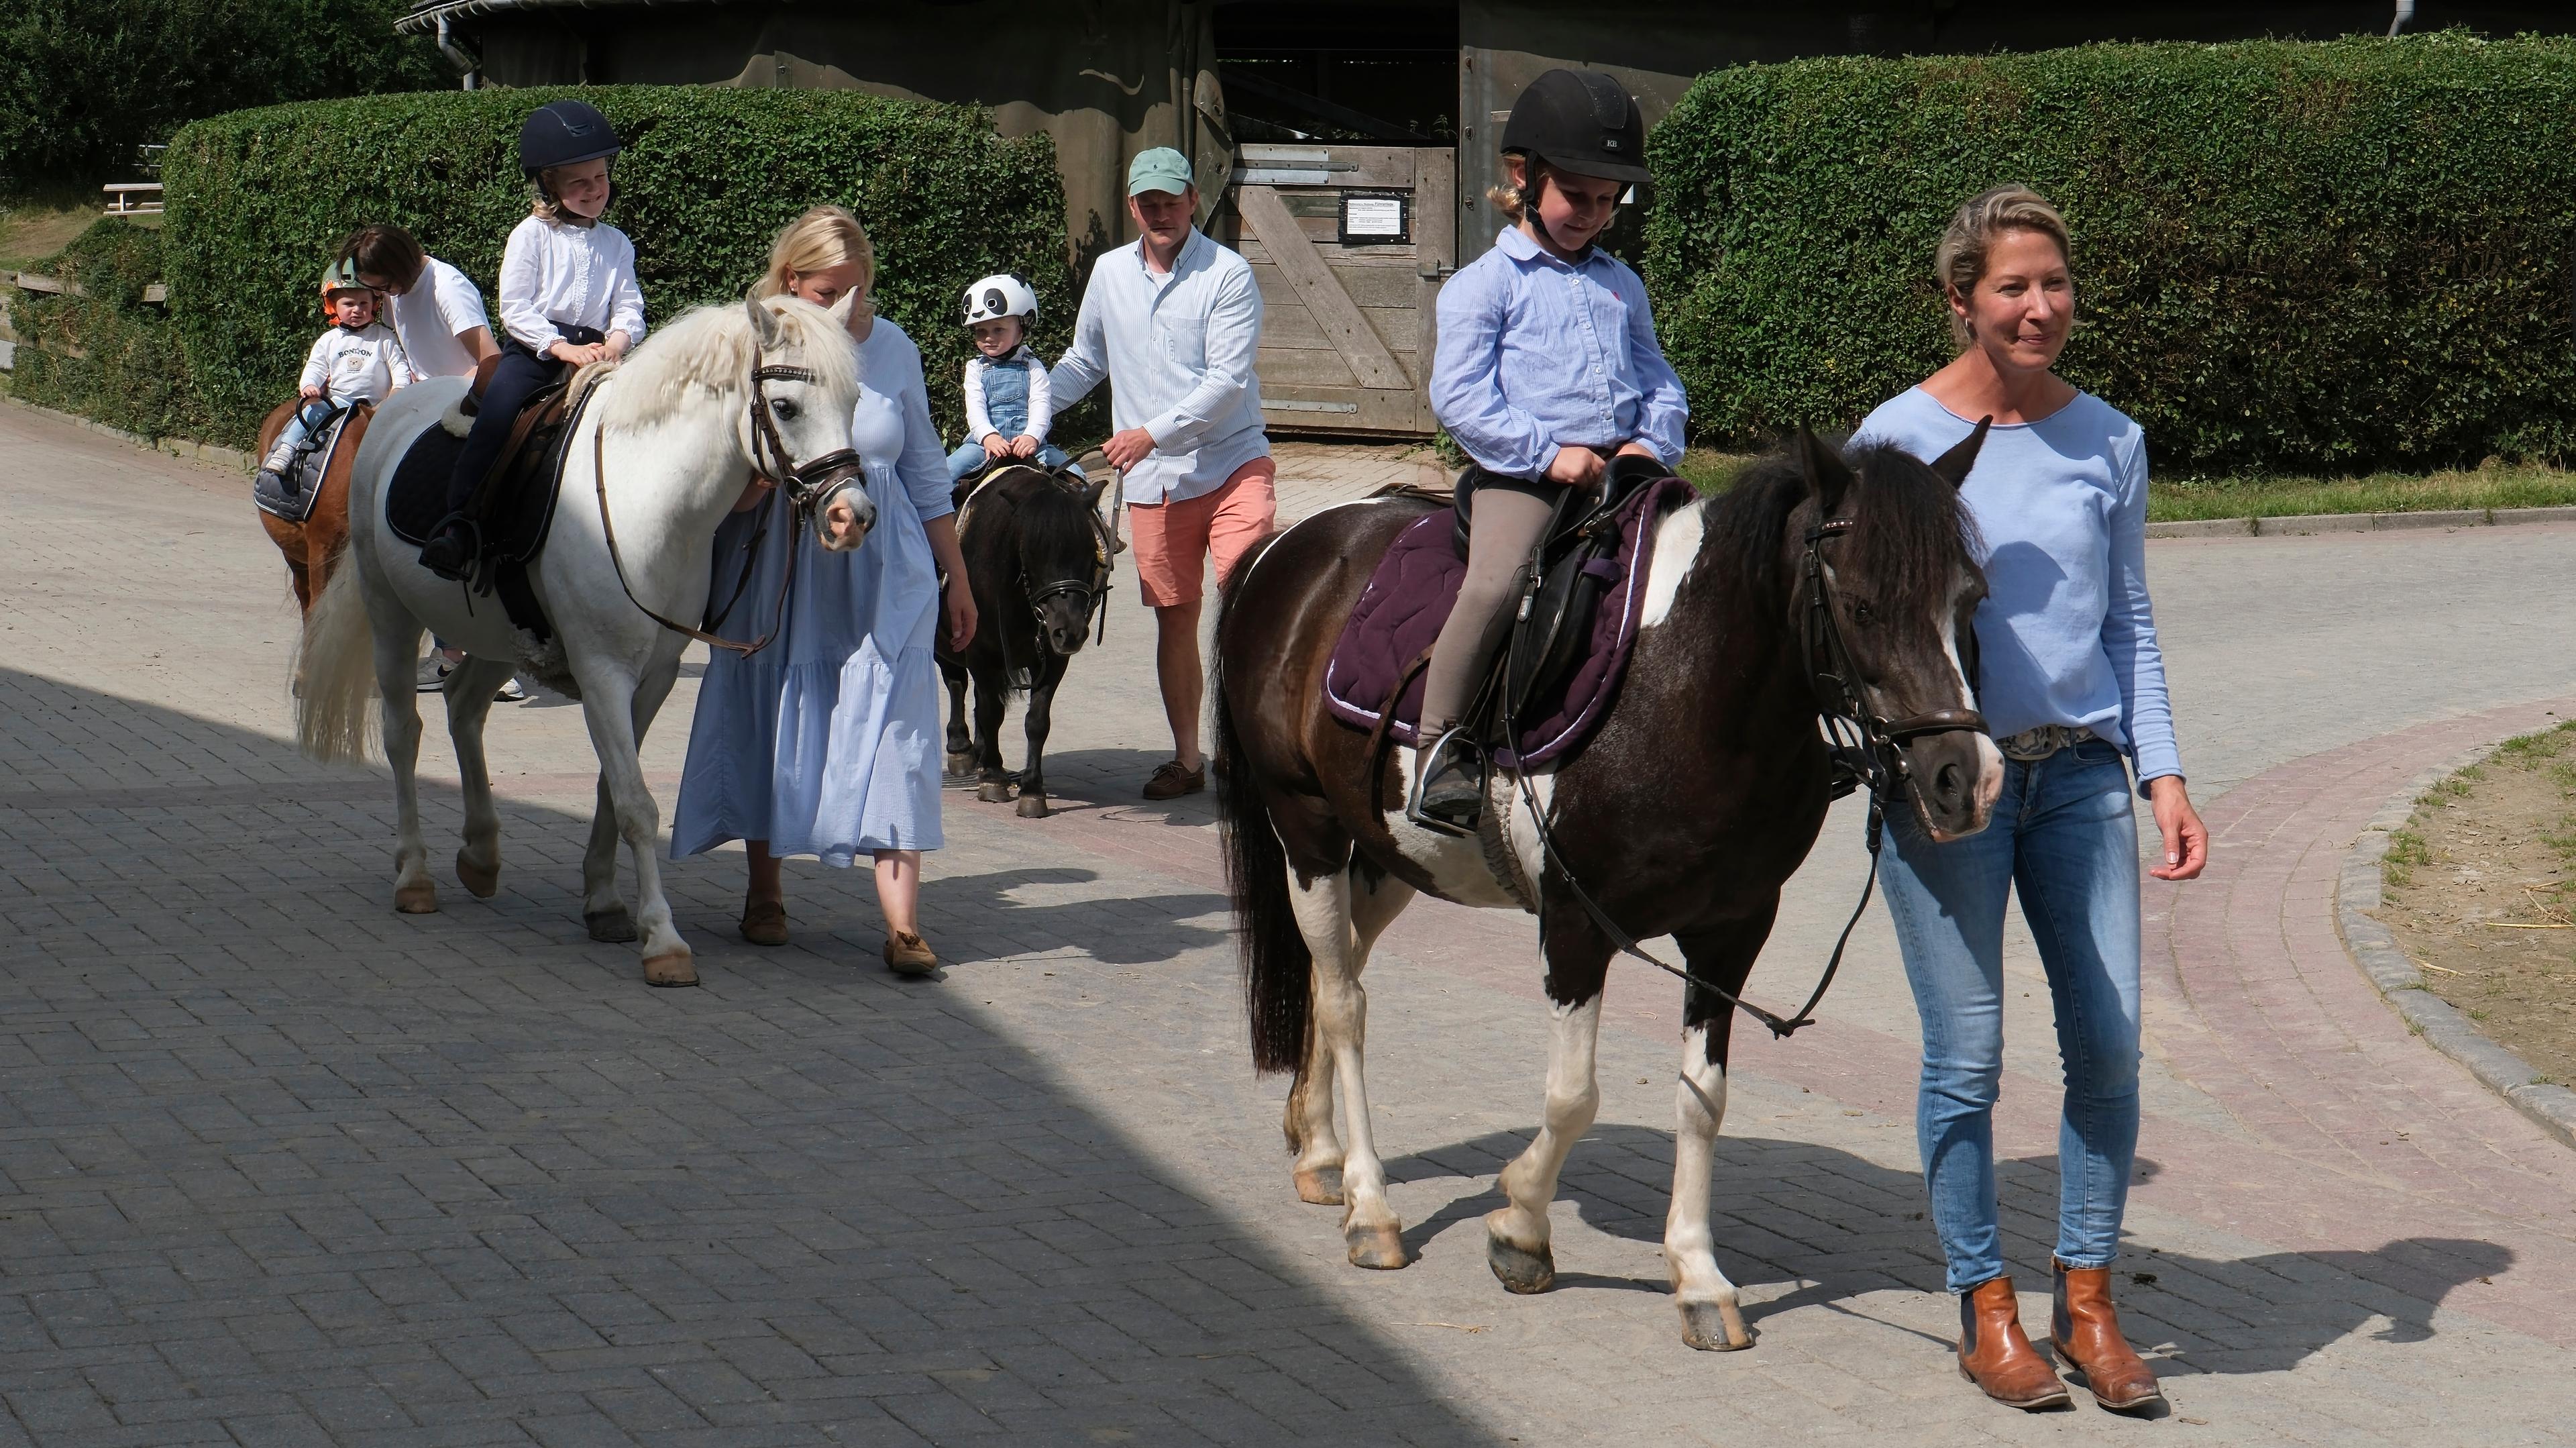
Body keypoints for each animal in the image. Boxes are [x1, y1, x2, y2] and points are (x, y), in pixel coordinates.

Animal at [296, 296, 870, 979]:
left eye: (854, 401)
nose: (852, 517)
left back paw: (481, 855)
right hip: (391, 613)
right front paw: (663, 938)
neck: (645, 497)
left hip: (499, 635)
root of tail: (391, 410)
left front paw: (605, 903)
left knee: (464, 710)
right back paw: (414, 875)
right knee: (403, 733)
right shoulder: (603, 672)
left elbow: (611, 788)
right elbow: (638, 803)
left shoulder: (653, 678)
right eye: (785, 407)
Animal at [943, 461, 1112, 814]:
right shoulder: (980, 651)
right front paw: (994, 779)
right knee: (956, 683)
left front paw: (1032, 790)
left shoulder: (1052, 658)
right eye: (1031, 552)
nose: (1070, 630)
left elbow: (1037, 720)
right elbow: (991, 711)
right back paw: (962, 748)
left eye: (1090, 552)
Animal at [1216, 422, 1998, 1350]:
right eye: (1865, 607)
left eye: (1972, 600)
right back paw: (1371, 1209)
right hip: (1308, 832)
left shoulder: (1732, 934)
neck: (1684, 691)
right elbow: (1573, 1097)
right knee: (1343, 1003)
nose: (1966, 781)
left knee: (1330, 976)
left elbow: (1703, 1100)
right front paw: (1521, 1228)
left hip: (1387, 857)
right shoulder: (1576, 926)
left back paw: (1319, 1150)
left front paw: (1698, 1277)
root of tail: (1296, 541)